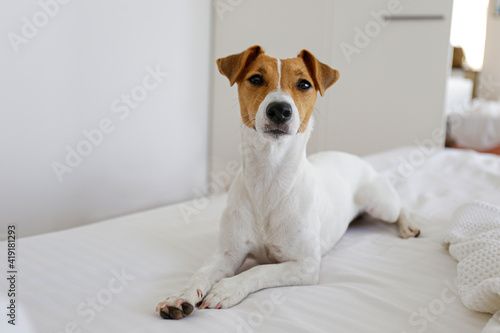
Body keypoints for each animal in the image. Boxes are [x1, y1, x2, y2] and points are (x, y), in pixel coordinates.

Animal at [155, 45, 418, 318]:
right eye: (256, 79)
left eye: (304, 84)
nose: (280, 109)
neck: (268, 177)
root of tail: (351, 156)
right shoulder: (227, 254)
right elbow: (200, 273)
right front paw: (180, 296)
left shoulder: (305, 265)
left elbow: (259, 270)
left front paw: (227, 288)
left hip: (381, 205)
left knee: (401, 208)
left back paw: (408, 226)